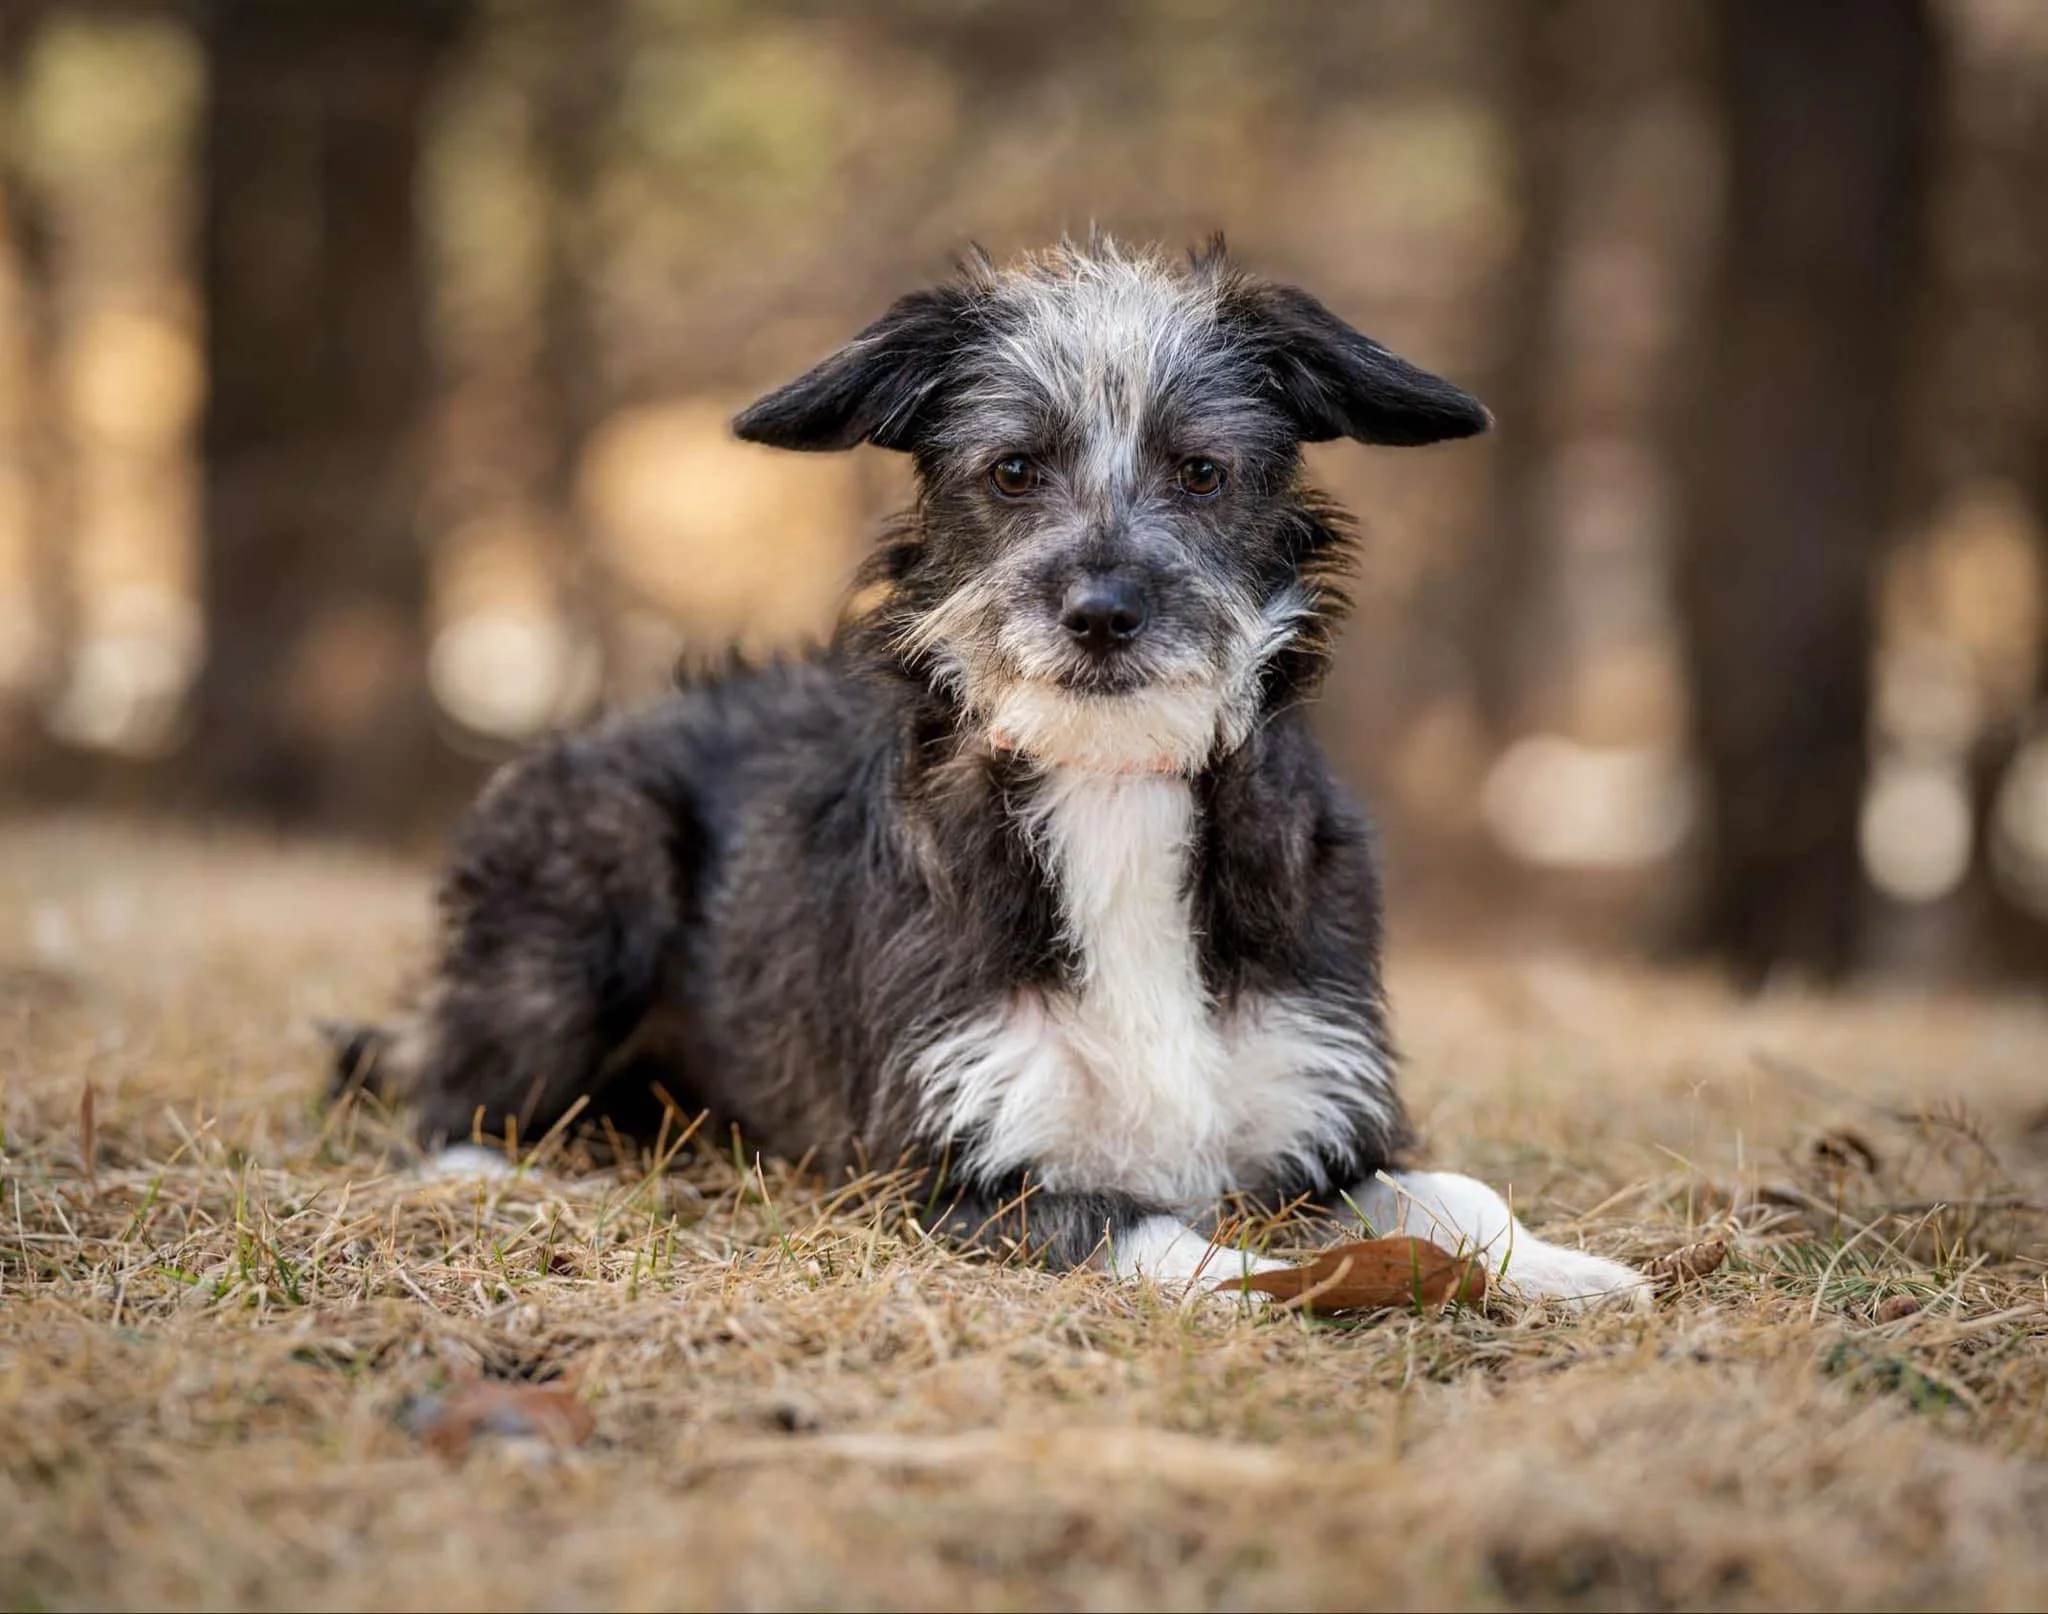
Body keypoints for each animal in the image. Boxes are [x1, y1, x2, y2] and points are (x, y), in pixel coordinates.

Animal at [337, 237, 1644, 1306]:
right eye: (1013, 470)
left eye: (1201, 472)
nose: (1101, 614)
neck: (1110, 788)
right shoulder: (943, 1174)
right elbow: (1153, 1232)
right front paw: (1271, 1285)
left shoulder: (1326, 1124)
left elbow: (1454, 1191)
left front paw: (1558, 1266)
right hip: (585, 886)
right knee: (435, 1100)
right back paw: (518, 1181)